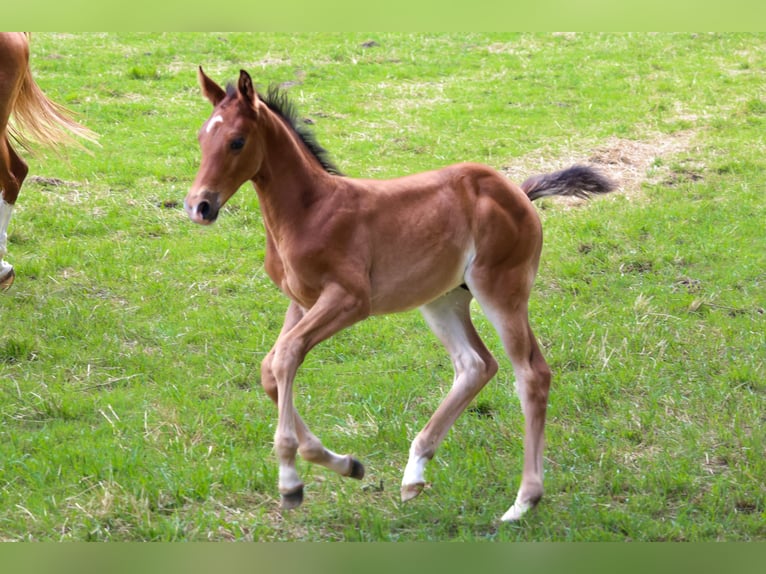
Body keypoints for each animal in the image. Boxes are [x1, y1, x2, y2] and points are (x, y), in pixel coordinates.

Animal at [183, 67, 616, 520]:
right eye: (201, 137)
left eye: (237, 141)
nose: (199, 206)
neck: (309, 211)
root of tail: (519, 192)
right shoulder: (301, 302)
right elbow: (272, 369)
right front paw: (347, 464)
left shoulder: (349, 300)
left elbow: (286, 357)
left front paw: (291, 479)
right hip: (442, 299)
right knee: (475, 364)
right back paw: (414, 474)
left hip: (502, 289)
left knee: (531, 373)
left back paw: (523, 501)